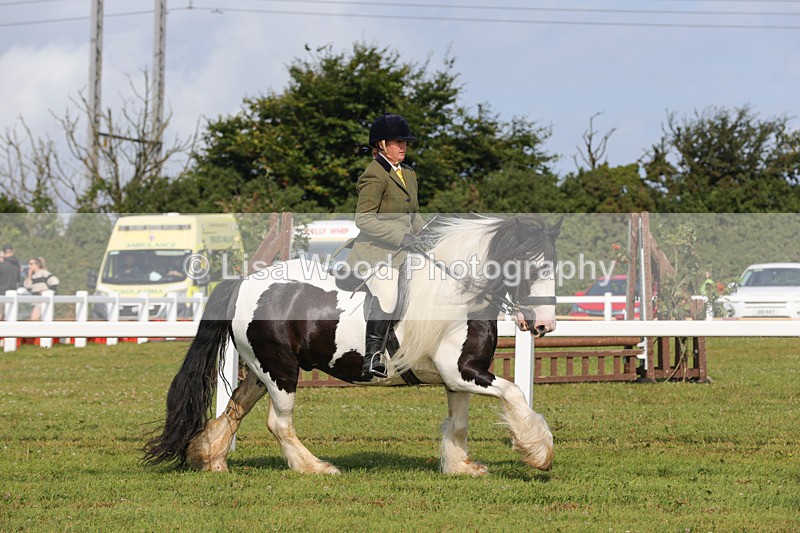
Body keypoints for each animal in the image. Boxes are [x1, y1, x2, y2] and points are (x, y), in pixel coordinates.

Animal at [143, 215, 562, 476]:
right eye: (529, 264)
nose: (545, 324)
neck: (456, 294)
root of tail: (243, 282)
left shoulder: (456, 378)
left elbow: (459, 422)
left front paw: (461, 466)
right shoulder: (463, 373)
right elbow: (514, 393)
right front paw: (539, 453)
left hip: (262, 369)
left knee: (235, 409)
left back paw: (209, 458)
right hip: (281, 372)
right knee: (279, 423)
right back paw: (315, 467)